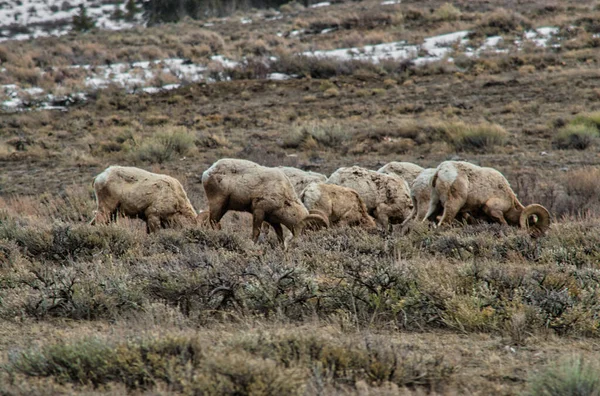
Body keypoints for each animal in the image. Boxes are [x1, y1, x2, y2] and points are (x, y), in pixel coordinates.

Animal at [200, 159, 328, 244]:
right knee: (212, 222)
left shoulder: (273, 221)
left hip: (223, 208)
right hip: (217, 205)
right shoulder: (259, 212)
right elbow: (256, 232)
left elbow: (280, 237)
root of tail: (207, 173)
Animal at [424, 161, 552, 235]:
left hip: (435, 205)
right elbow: (504, 223)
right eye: (534, 230)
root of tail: (439, 171)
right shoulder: (493, 210)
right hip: (453, 205)